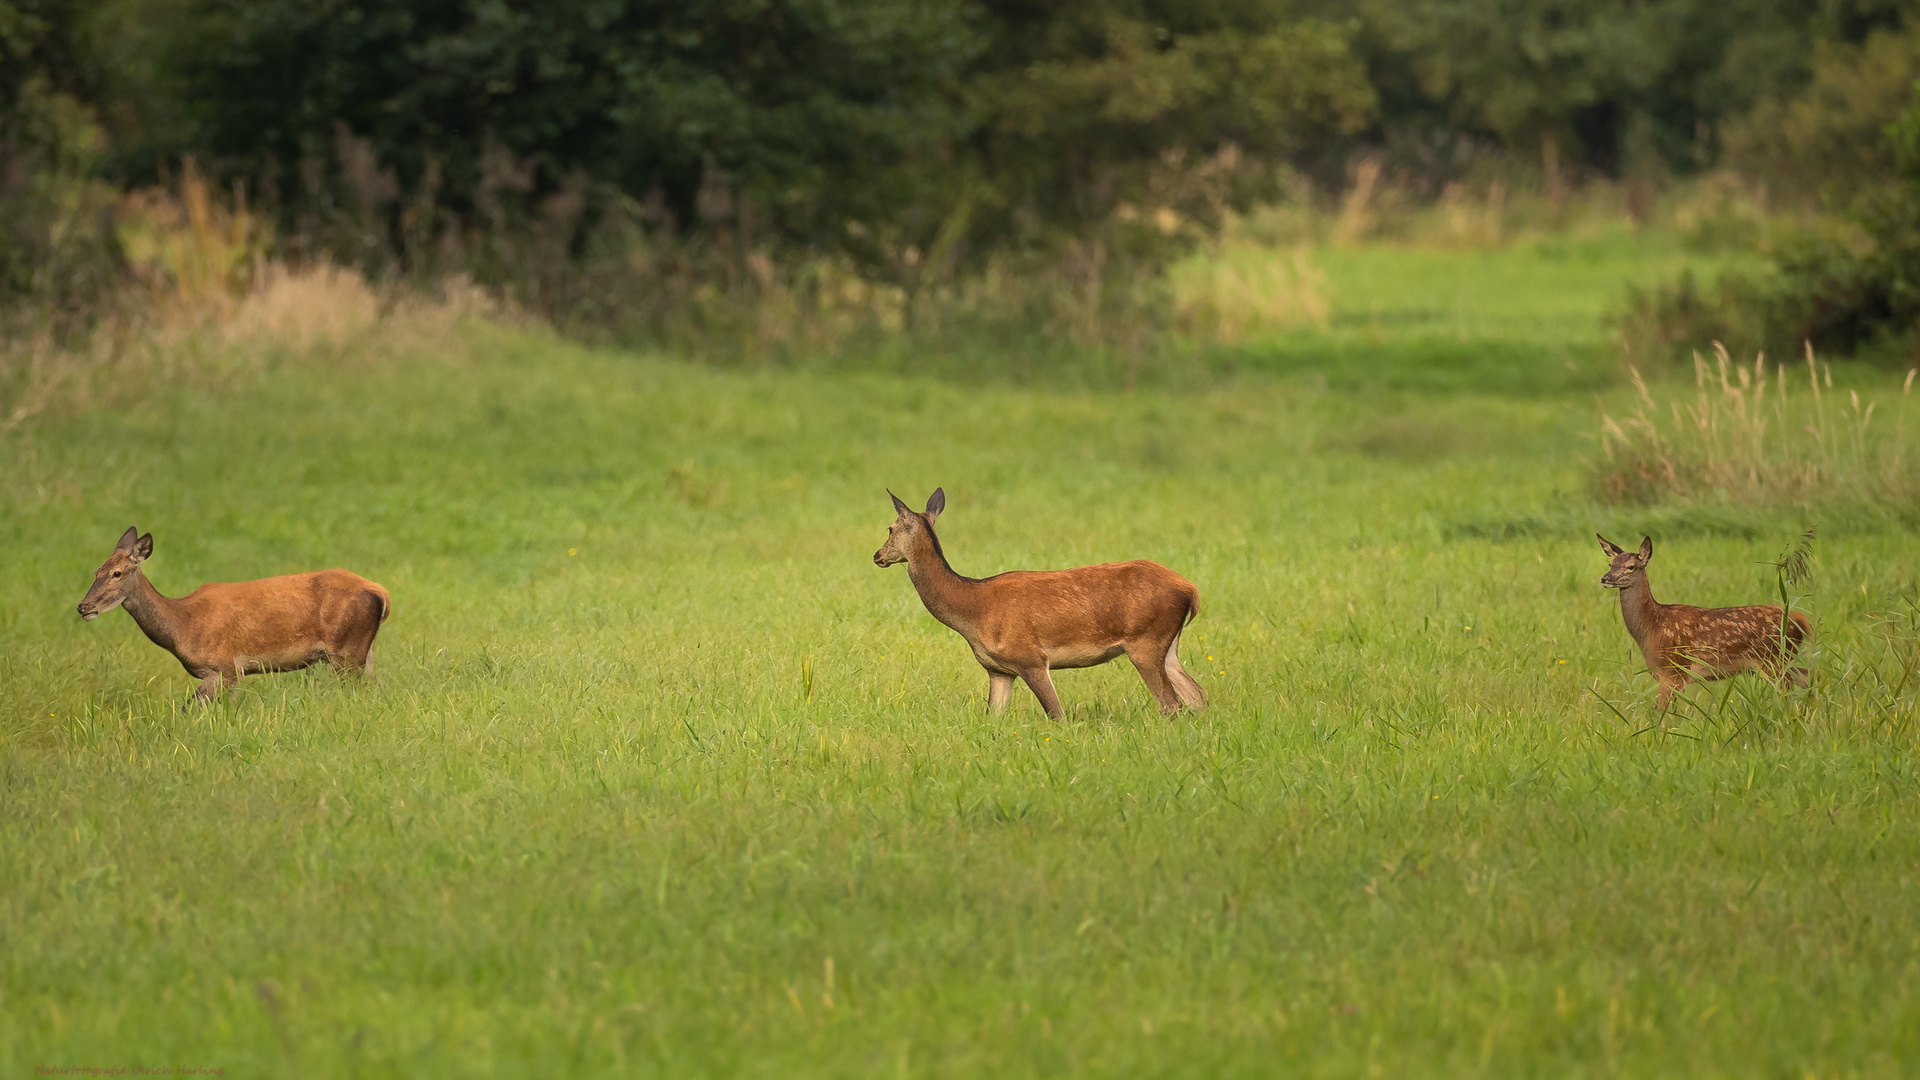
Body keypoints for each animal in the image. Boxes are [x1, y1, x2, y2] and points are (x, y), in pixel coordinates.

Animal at [75, 522, 389, 699]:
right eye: (95, 571)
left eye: (116, 573)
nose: (83, 606)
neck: (182, 625)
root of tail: (382, 593)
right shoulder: (232, 674)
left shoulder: (224, 667)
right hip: (364, 651)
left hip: (347, 650)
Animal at [871, 488, 1198, 714]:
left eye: (890, 528)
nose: (877, 555)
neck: (973, 612)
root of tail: (1191, 591)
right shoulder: (999, 670)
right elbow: (992, 717)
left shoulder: (1031, 658)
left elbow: (1057, 715)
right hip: (1168, 644)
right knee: (1197, 696)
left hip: (1145, 641)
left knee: (1172, 704)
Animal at [1597, 530, 1804, 707]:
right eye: (1610, 564)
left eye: (1630, 567)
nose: (1605, 578)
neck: (1652, 626)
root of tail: (1802, 623)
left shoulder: (1672, 671)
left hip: (1775, 660)